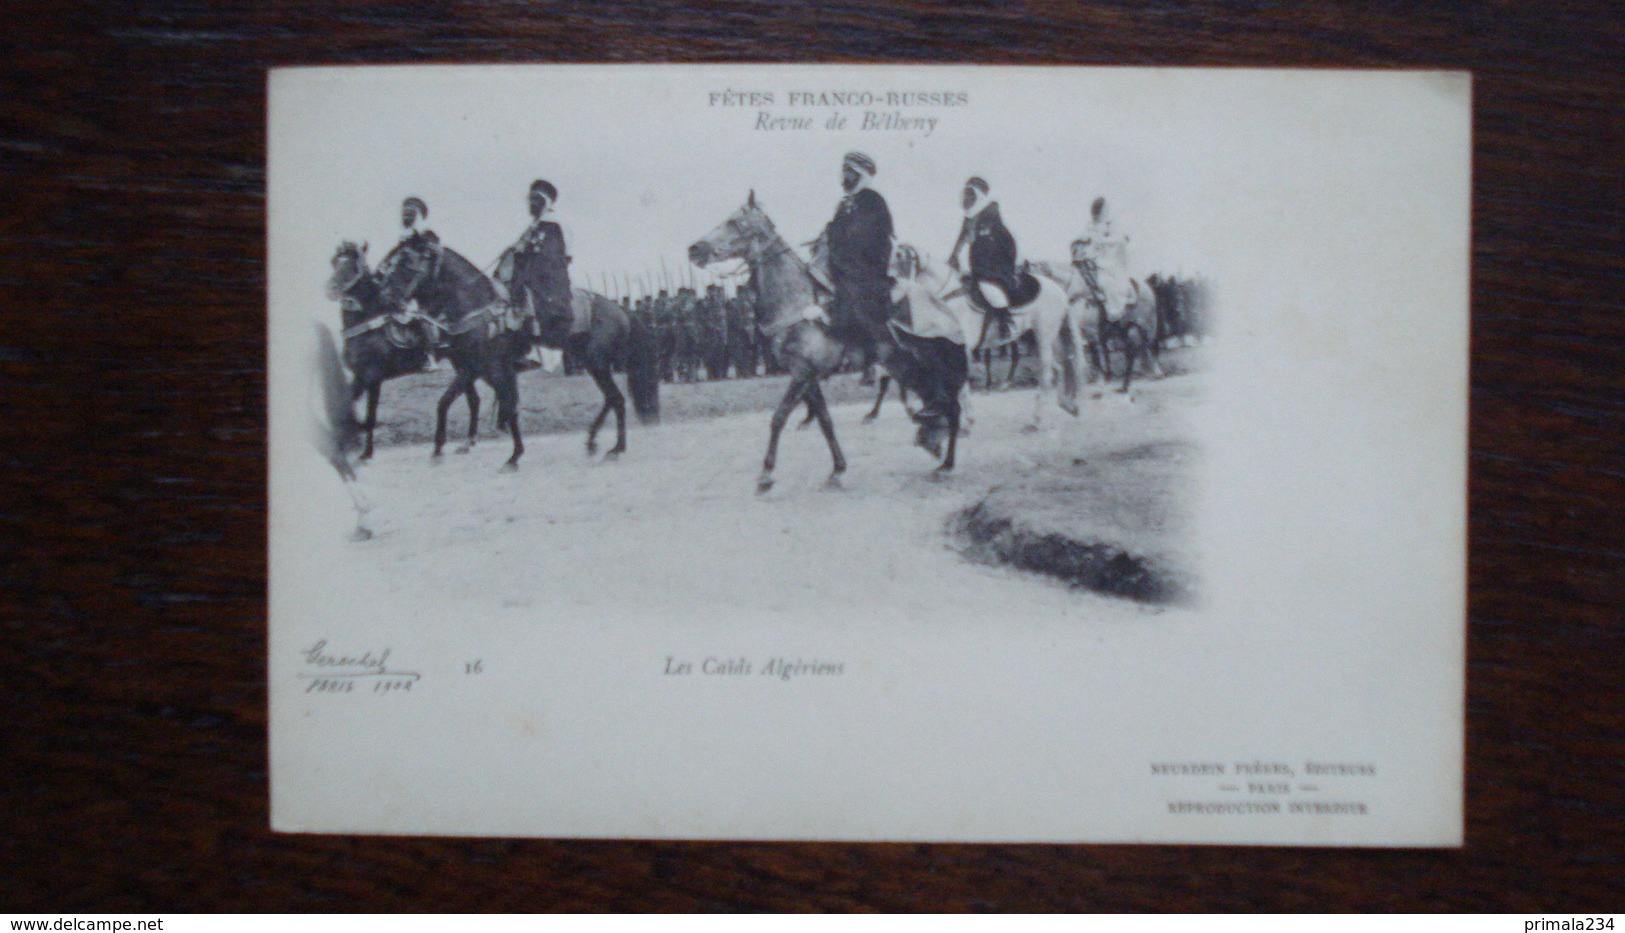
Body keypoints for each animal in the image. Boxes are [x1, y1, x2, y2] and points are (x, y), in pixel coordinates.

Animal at [685, 193, 962, 494]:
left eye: (735, 222)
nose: (695, 249)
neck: (796, 301)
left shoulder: (802, 373)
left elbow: (778, 417)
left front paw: (766, 475)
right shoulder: (809, 375)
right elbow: (825, 421)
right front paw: (837, 470)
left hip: (925, 365)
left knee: (951, 405)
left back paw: (947, 464)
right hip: (903, 366)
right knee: (935, 400)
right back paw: (931, 440)